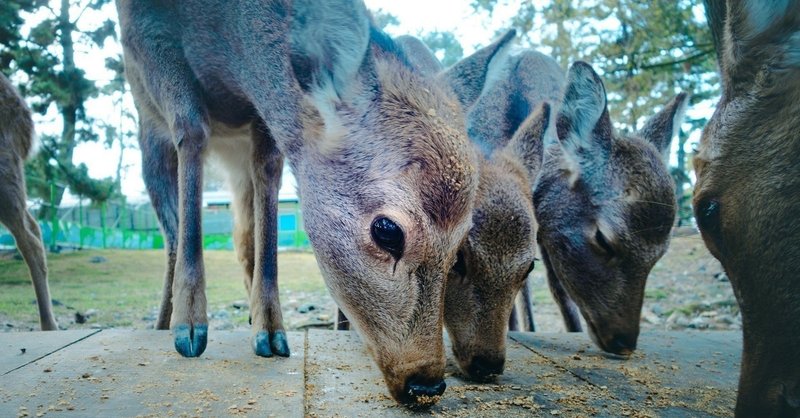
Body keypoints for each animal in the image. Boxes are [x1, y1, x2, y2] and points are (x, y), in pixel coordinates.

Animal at [117, 0, 482, 404]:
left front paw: (272, 332)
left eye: (462, 243)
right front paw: (190, 329)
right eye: (387, 230)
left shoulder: (261, 119)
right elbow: (191, 133)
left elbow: (268, 171)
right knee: (170, 234)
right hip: (148, 135)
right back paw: (164, 322)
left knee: (242, 233)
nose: (426, 383)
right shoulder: (149, 41)